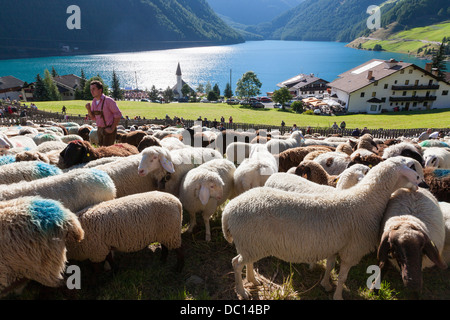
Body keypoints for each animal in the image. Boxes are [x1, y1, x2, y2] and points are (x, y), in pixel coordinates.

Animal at [222, 157, 426, 300]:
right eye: (415, 171)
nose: (422, 186)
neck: (366, 200)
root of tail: (229, 210)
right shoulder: (351, 250)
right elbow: (342, 277)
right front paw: (338, 295)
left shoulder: (334, 245)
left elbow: (329, 266)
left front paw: (326, 284)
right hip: (251, 242)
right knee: (236, 263)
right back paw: (242, 291)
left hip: (251, 242)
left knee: (247, 261)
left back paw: (253, 280)